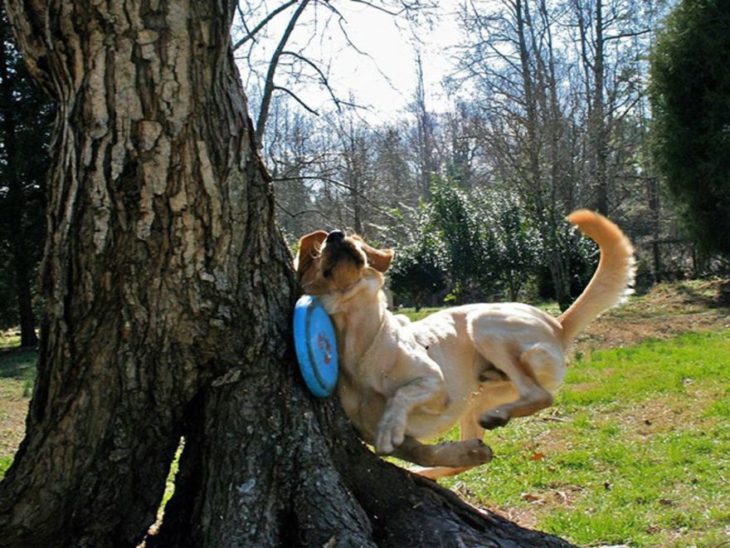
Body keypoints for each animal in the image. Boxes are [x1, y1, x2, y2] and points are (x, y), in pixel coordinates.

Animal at [294, 212, 632, 478]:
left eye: (353, 237)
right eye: (314, 255)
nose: (336, 235)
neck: (361, 344)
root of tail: (557, 323)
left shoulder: (434, 383)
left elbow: (401, 396)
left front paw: (391, 423)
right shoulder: (371, 430)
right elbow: (420, 451)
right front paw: (467, 452)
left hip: (482, 326)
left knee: (542, 395)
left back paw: (497, 416)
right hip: (477, 402)